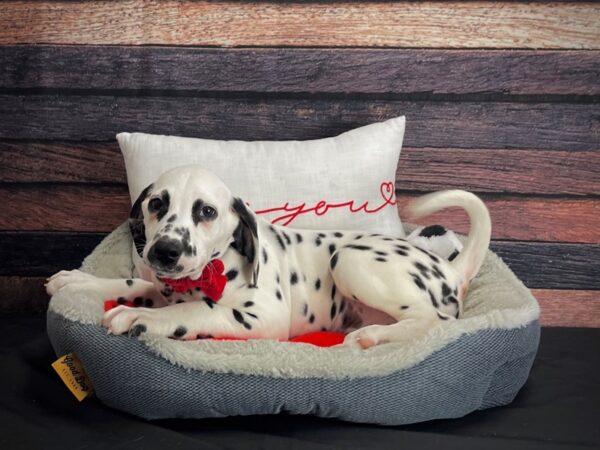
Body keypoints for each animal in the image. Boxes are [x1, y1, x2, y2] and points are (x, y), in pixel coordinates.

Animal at [45, 165, 488, 348]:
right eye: (157, 204)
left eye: (206, 211)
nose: (165, 252)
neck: (213, 270)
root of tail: (450, 267)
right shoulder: (166, 284)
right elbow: (138, 282)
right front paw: (81, 281)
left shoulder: (260, 317)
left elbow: (194, 311)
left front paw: (140, 317)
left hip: (348, 258)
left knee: (432, 320)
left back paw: (373, 336)